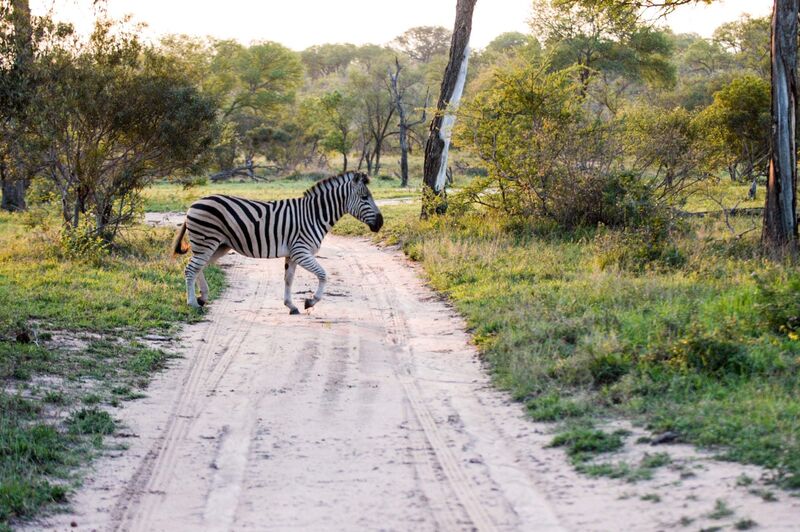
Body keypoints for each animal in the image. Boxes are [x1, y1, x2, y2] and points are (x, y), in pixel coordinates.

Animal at [173, 170, 386, 314]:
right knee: (191, 269)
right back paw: (193, 303)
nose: (381, 223)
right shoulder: (301, 251)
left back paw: (202, 297)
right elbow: (323, 275)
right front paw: (310, 301)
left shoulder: (292, 254)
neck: (314, 215)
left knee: (198, 267)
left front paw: (291, 306)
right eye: (364, 197)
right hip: (207, 242)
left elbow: (288, 279)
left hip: (219, 245)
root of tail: (193, 205)